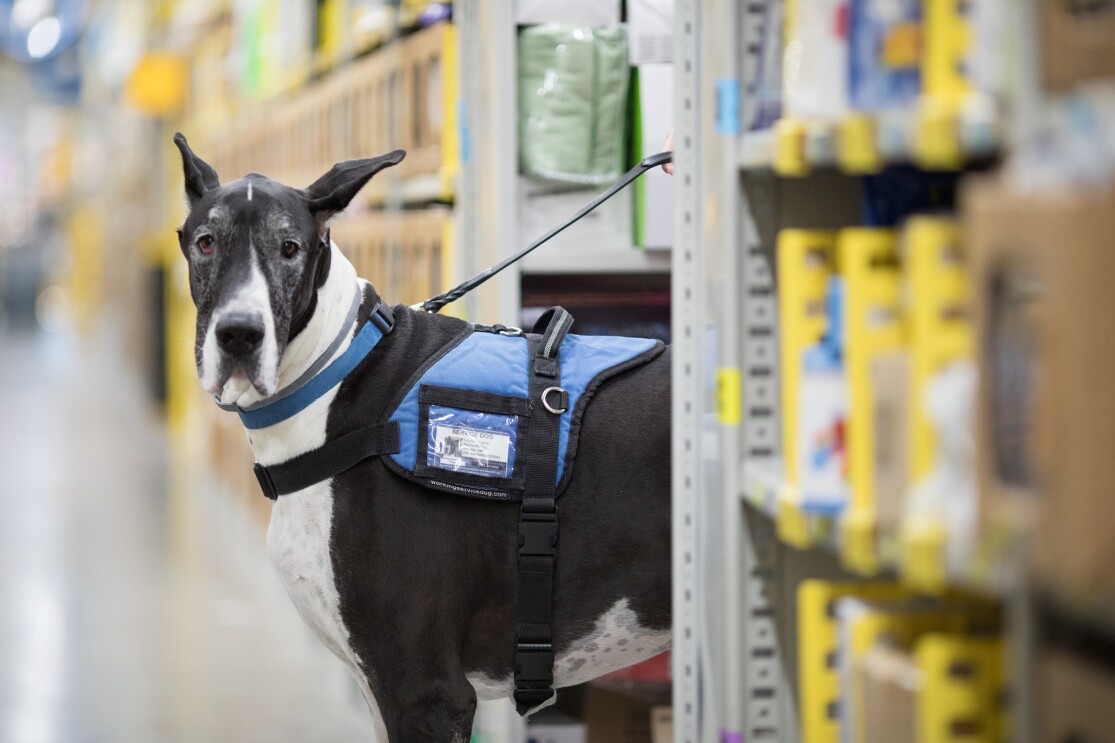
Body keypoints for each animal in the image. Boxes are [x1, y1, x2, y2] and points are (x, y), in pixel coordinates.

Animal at [173, 134, 669, 740]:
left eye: (289, 248)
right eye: (206, 242)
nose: (239, 334)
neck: (336, 374)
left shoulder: (426, 692)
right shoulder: (379, 689)